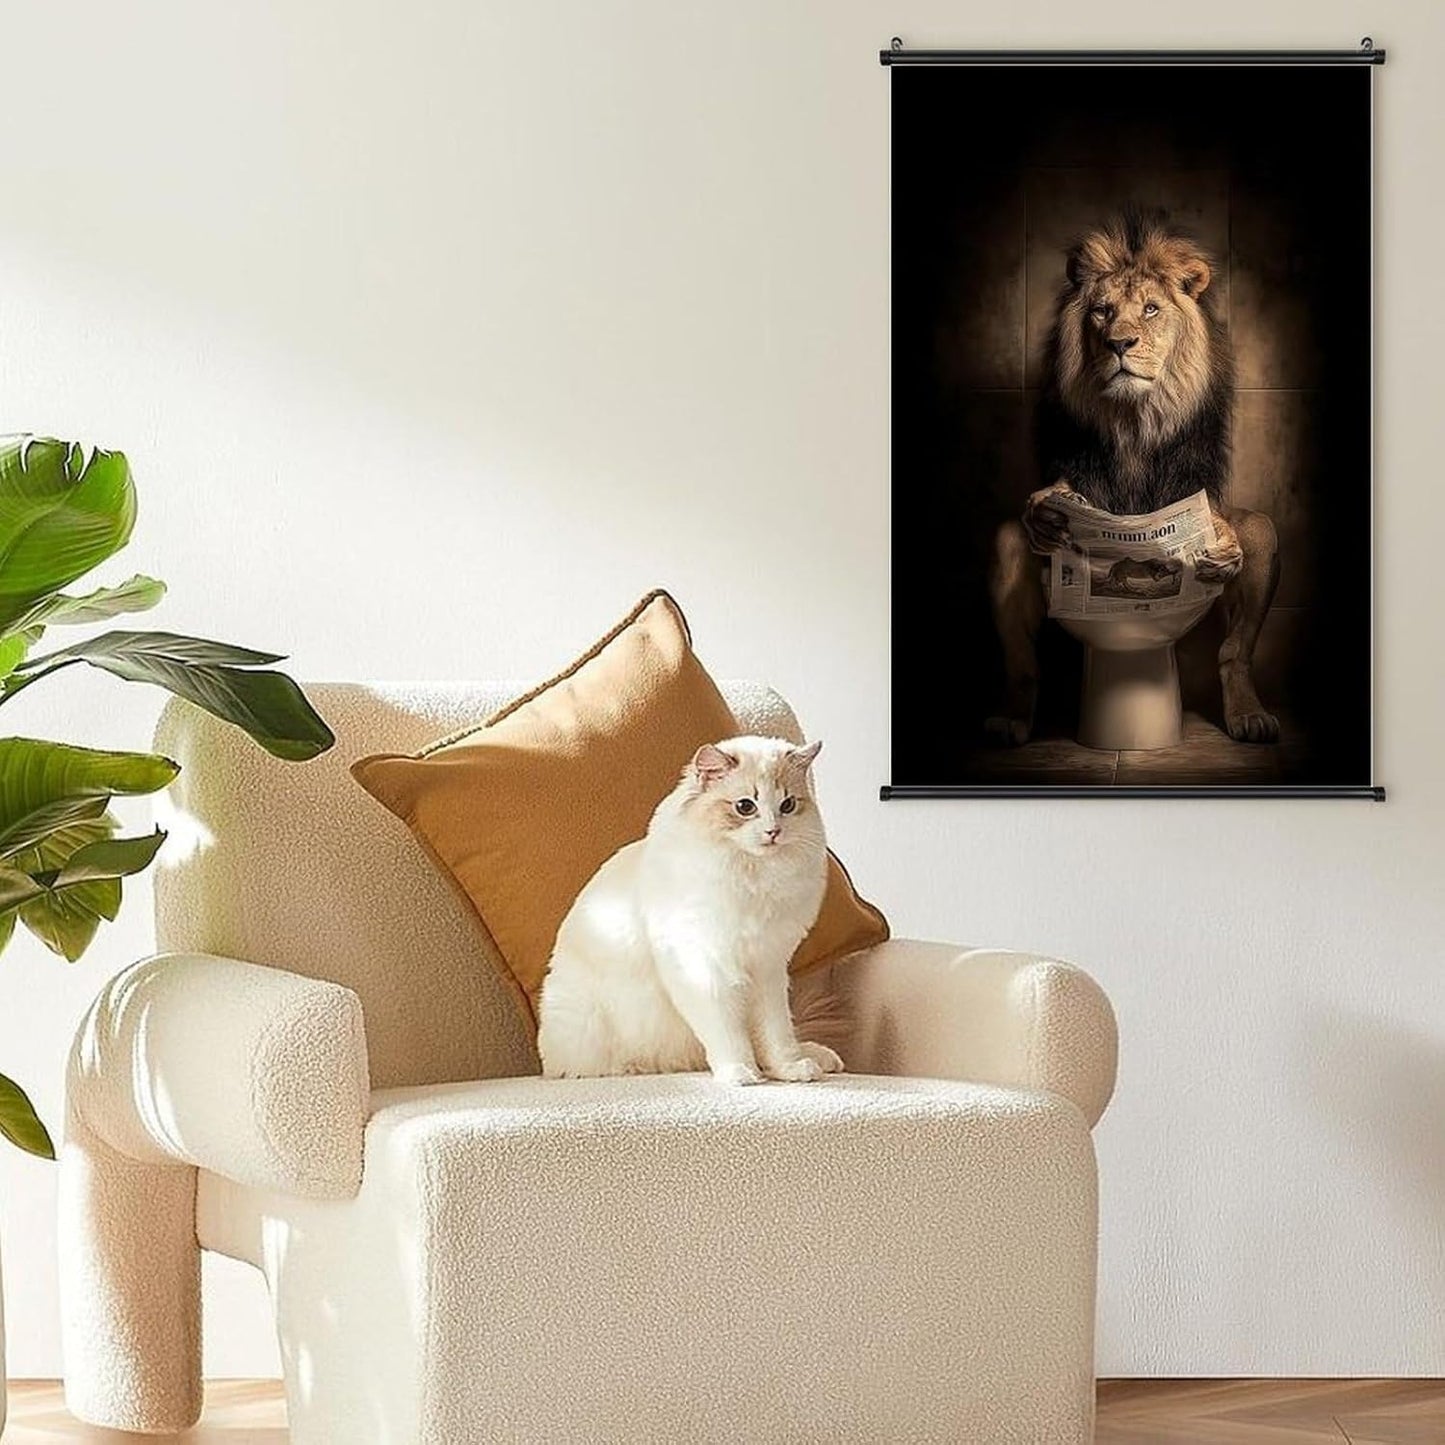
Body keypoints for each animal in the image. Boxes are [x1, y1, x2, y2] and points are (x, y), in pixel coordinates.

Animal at [987, 209, 1280, 746]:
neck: (1134, 418)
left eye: (1149, 309)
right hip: (1017, 563)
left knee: (1234, 649)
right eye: (1102, 312)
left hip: (1262, 539)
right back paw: (1011, 720)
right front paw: (1044, 512)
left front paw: (1222, 543)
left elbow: (1215, 517)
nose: (1119, 343)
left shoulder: (1193, 473)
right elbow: (1053, 498)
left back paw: (1249, 716)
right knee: (1022, 652)